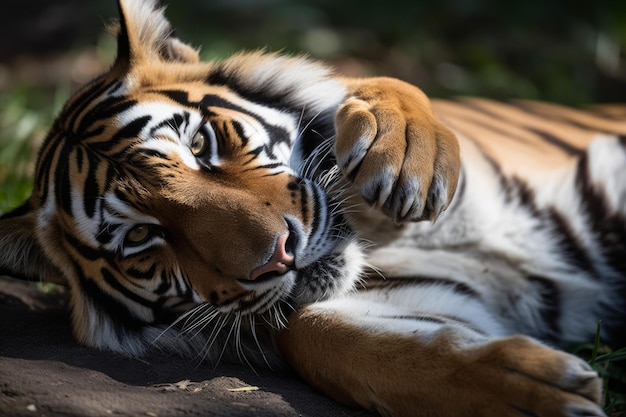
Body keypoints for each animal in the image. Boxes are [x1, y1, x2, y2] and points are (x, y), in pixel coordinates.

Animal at [1, 0, 624, 414]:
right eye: (140, 238)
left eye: (200, 144)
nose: (280, 255)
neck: (381, 239)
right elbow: (337, 341)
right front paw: (534, 394)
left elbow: (383, 87)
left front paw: (403, 152)